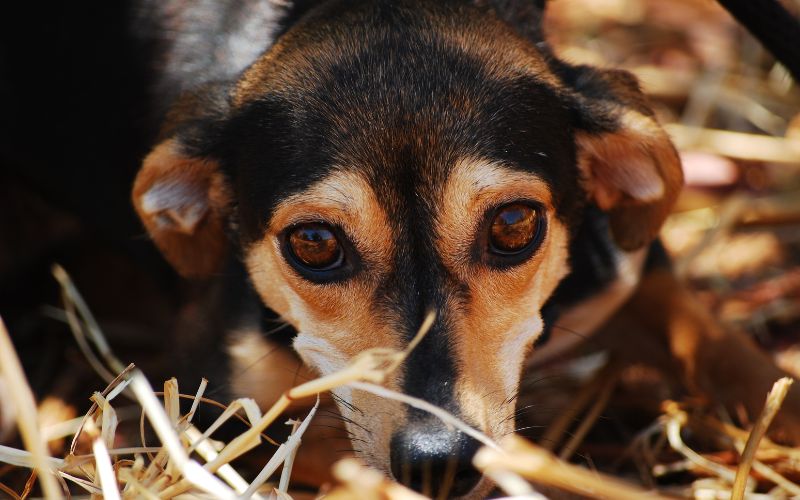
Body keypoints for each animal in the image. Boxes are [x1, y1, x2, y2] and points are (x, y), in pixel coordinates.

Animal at [125, 0, 800, 496]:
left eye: (513, 225)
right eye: (313, 243)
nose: (438, 463)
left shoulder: (635, 277)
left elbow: (739, 360)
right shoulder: (220, 403)